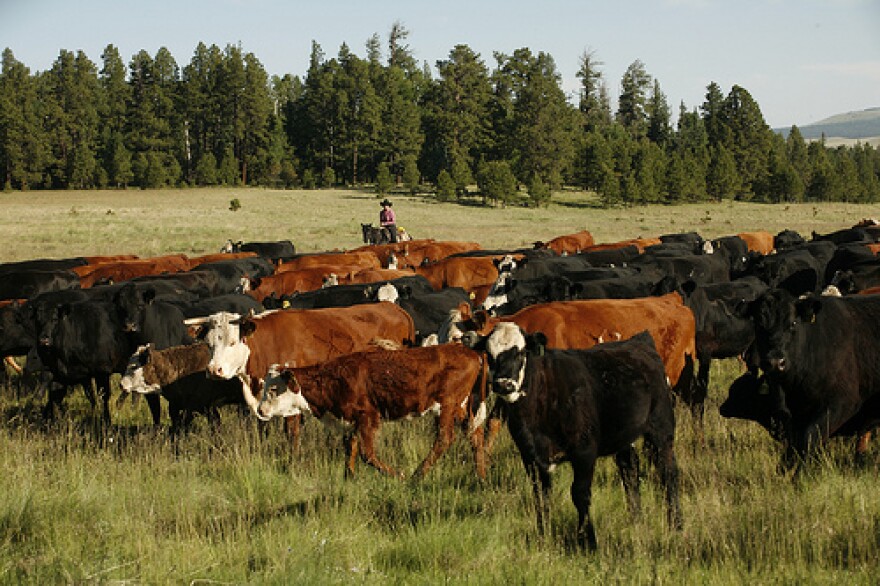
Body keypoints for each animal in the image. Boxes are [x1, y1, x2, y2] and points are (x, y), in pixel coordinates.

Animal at [254, 344, 492, 476]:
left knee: (444, 439)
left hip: (448, 405)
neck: (333, 379)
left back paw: (416, 476)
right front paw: (349, 478)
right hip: (462, 407)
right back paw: (481, 476)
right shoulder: (352, 422)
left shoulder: (368, 417)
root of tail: (473, 352)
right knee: (475, 436)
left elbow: (367, 454)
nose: (260, 410)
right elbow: (350, 449)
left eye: (274, 389)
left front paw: (399, 475)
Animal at [464, 324, 684, 548]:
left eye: (521, 352)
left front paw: (588, 540)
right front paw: (543, 536)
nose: (504, 384)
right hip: (624, 437)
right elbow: (540, 496)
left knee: (668, 472)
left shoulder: (584, 452)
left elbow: (580, 494)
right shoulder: (530, 457)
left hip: (661, 429)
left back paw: (676, 524)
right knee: (630, 471)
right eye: (489, 354)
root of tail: (640, 341)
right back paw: (636, 521)